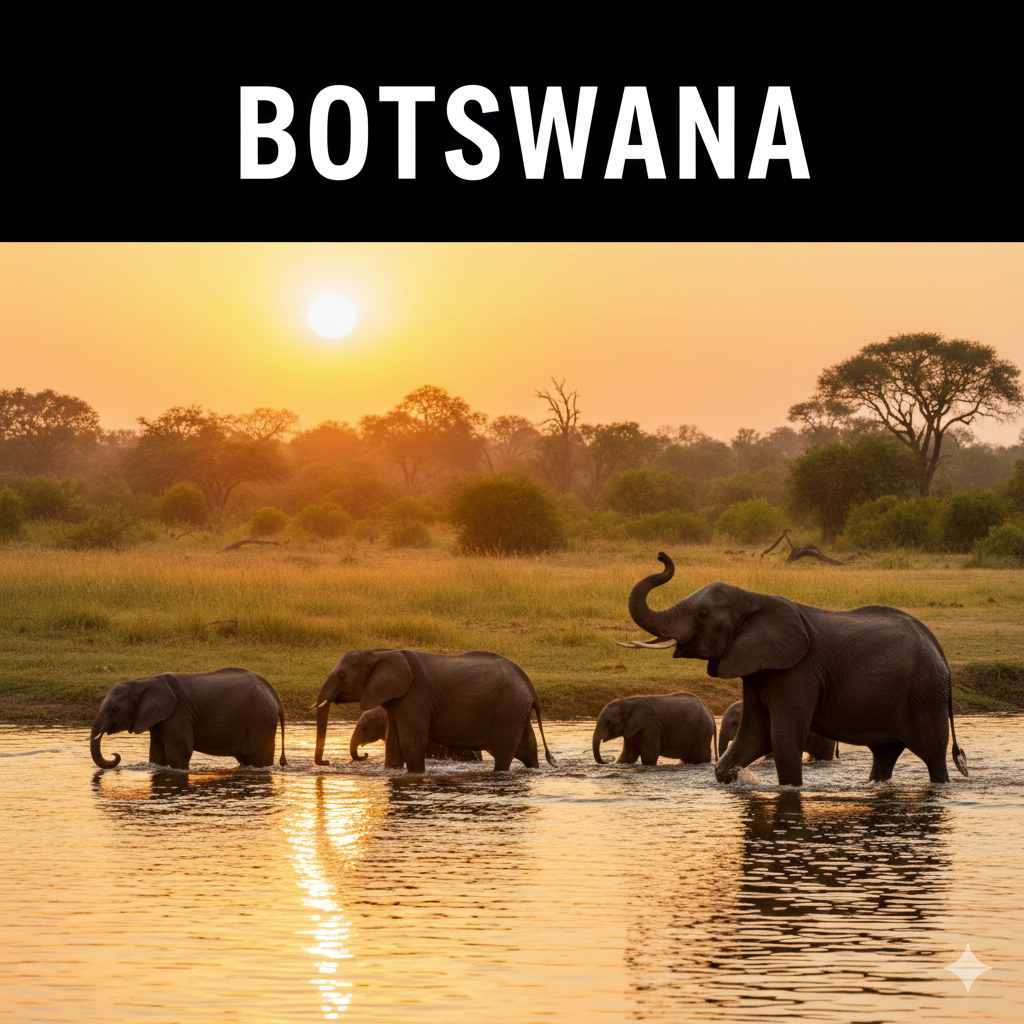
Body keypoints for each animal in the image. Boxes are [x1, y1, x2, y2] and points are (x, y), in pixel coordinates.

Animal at [90, 668, 287, 770]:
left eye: (114, 710)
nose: (115, 755)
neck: (143, 681)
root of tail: (276, 698)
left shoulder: (179, 714)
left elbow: (179, 753)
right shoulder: (160, 719)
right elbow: (156, 754)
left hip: (259, 721)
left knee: (259, 760)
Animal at [617, 552, 968, 787]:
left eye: (702, 615)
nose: (661, 556)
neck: (752, 598)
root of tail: (939, 649)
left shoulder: (797, 670)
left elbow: (783, 737)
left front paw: (789, 790)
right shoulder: (757, 669)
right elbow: (754, 736)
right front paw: (731, 778)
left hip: (926, 692)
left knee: (933, 755)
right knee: (885, 754)